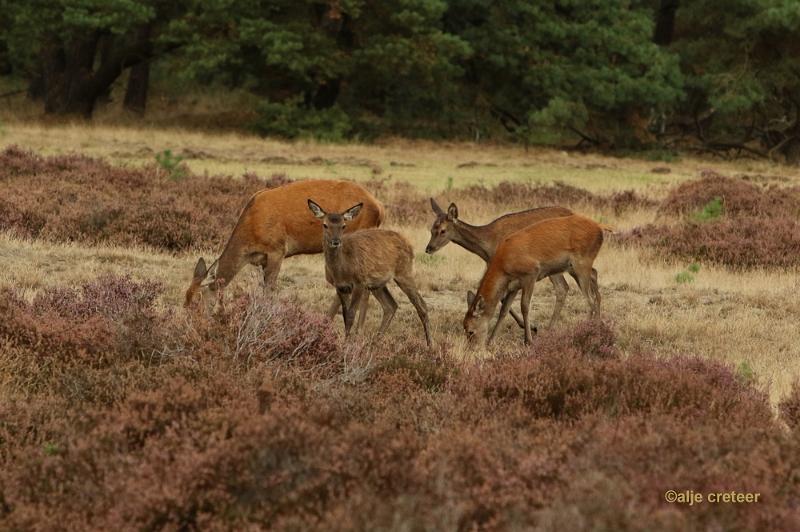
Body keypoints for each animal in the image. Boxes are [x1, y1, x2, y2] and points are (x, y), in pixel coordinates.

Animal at [308, 200, 434, 350]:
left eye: (343, 225)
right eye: (325, 224)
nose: (336, 241)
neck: (342, 270)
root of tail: (409, 244)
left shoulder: (359, 282)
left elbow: (351, 314)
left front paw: (346, 344)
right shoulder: (340, 287)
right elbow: (344, 314)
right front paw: (345, 341)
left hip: (404, 272)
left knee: (421, 305)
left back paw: (430, 345)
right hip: (377, 283)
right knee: (391, 305)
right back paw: (375, 341)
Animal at [428, 197, 596, 338]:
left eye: (442, 230)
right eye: (431, 229)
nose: (428, 248)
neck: (487, 245)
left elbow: (503, 298)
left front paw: (531, 327)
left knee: (563, 287)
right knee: (591, 274)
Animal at [462, 214, 608, 348]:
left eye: (470, 331)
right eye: (465, 328)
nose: (472, 349)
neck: (503, 266)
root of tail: (600, 227)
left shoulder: (531, 274)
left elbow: (525, 306)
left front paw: (528, 341)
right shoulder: (513, 286)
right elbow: (504, 310)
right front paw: (491, 341)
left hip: (581, 264)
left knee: (590, 301)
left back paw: (586, 332)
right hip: (575, 268)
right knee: (593, 279)